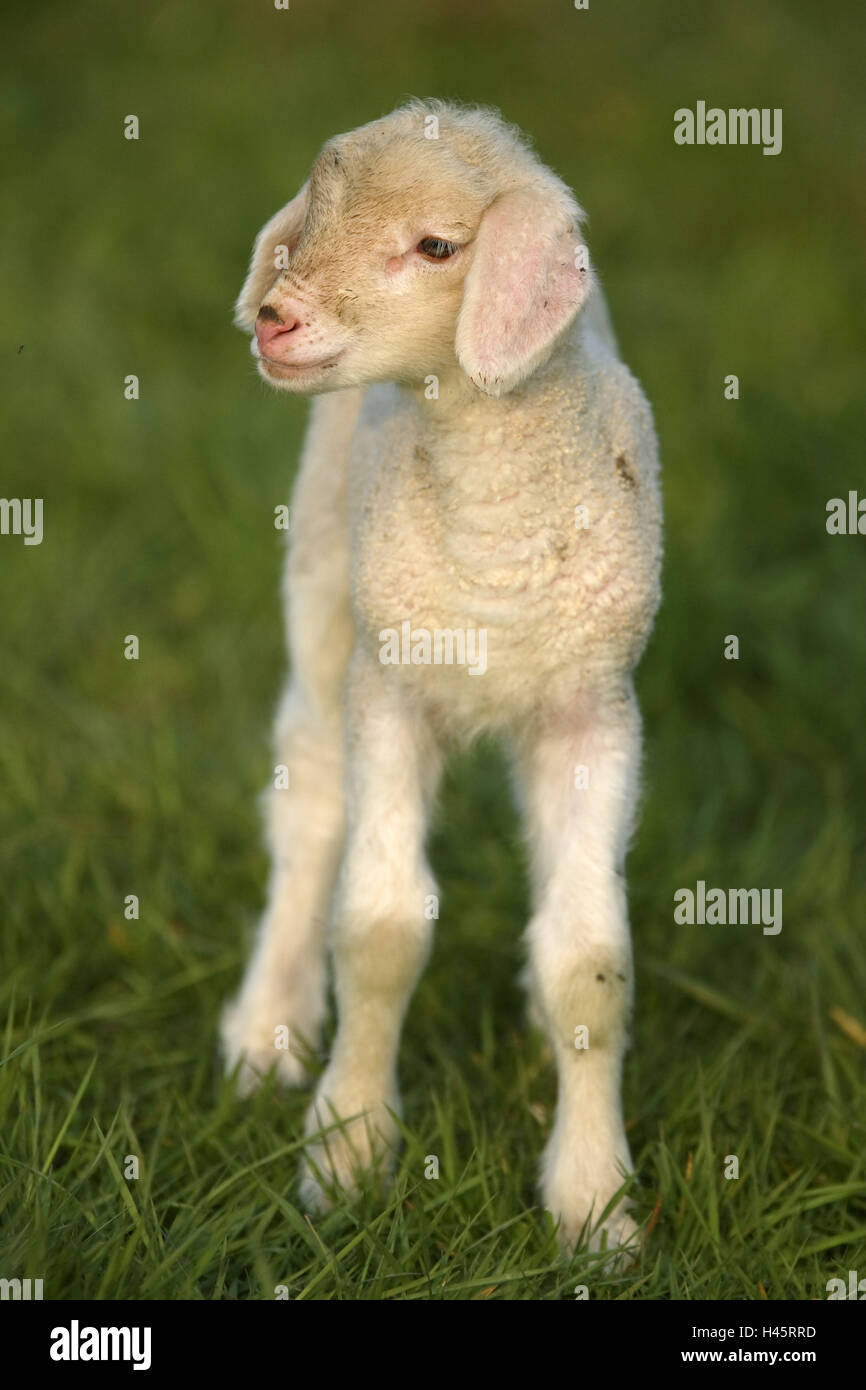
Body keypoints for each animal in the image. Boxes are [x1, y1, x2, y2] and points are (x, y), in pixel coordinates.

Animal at [222, 95, 664, 1251]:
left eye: (435, 248)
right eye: (312, 215)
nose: (273, 318)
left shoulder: (592, 711)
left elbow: (588, 962)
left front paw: (594, 1202)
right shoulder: (391, 689)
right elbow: (376, 928)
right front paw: (346, 1150)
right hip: (323, 592)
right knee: (308, 806)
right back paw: (268, 1026)